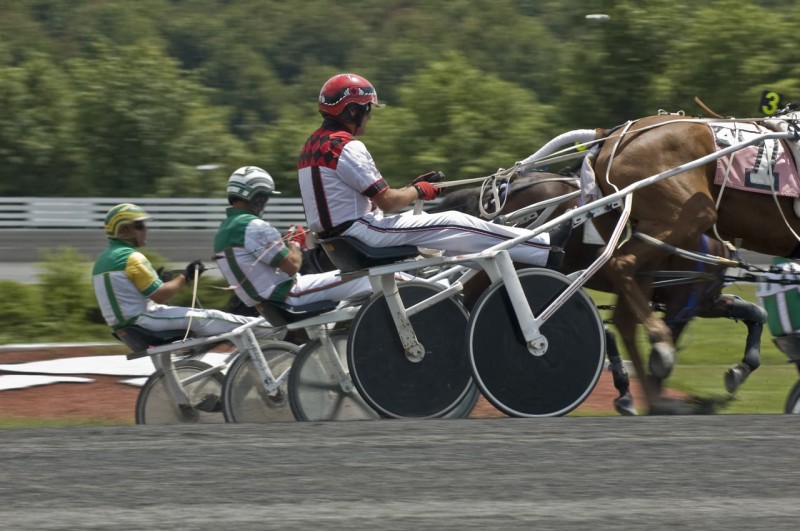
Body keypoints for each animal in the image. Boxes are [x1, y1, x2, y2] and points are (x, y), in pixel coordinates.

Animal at [438, 170, 768, 416]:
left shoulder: (701, 299)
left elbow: (756, 313)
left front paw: (738, 371)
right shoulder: (681, 302)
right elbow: (653, 345)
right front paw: (656, 398)